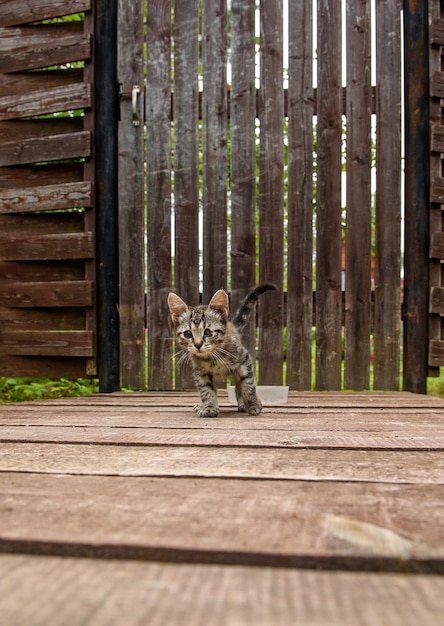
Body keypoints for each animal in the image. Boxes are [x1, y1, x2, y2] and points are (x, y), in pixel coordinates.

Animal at [167, 286, 276, 416]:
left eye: (208, 332)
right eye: (188, 334)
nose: (198, 345)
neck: (211, 357)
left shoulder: (245, 360)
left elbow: (248, 385)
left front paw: (253, 404)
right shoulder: (200, 373)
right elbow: (206, 390)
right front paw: (209, 407)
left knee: (239, 385)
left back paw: (244, 403)